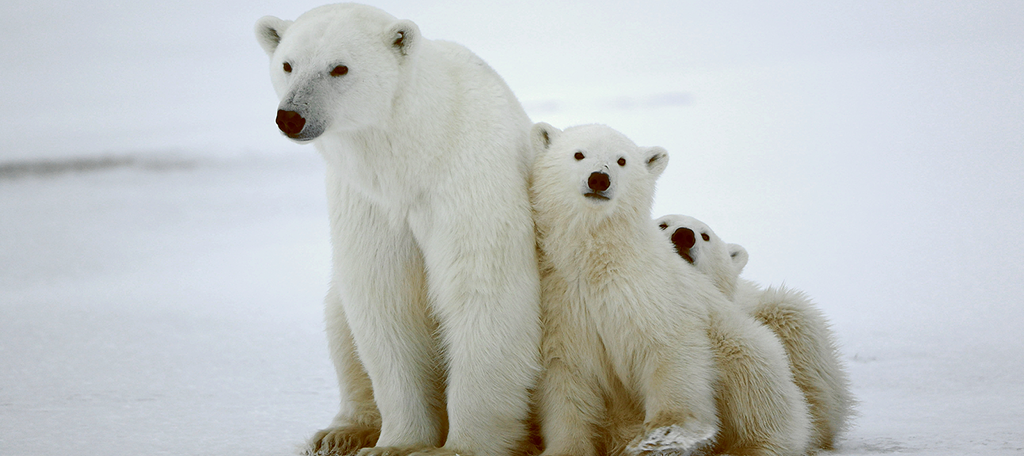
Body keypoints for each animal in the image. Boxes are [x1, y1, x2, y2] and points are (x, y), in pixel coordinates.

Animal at [253, 5, 544, 454]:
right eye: (287, 64)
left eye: (339, 67)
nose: (291, 117)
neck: (415, 152)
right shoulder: (369, 201)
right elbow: (385, 298)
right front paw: (395, 443)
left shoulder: (469, 179)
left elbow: (483, 291)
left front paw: (461, 446)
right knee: (340, 322)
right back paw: (339, 433)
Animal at [532, 122, 811, 454]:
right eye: (578, 154)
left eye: (622, 160)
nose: (599, 179)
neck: (598, 260)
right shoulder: (565, 304)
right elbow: (567, 379)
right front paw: (567, 446)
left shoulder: (653, 291)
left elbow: (671, 351)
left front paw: (665, 433)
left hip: (744, 348)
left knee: (756, 392)